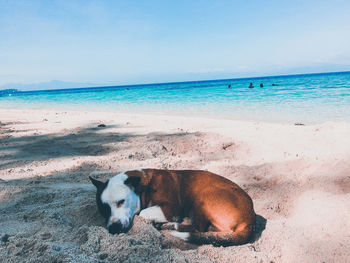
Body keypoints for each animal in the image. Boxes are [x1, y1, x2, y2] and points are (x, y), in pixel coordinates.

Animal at [89, 169, 256, 248]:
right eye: (103, 210)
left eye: (121, 202)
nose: (113, 229)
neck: (143, 186)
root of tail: (250, 220)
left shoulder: (172, 208)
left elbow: (142, 212)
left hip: (203, 196)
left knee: (198, 227)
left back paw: (169, 225)